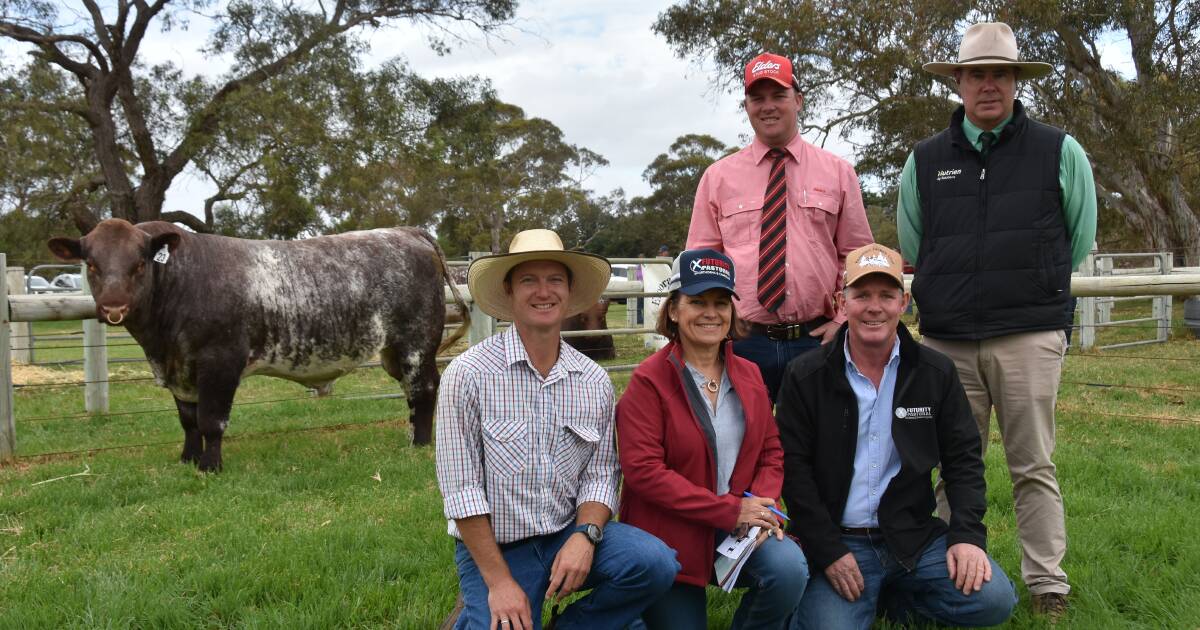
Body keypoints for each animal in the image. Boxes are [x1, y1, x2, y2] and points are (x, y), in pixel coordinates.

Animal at [49, 218, 468, 468]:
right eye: (91, 265)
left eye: (139, 264)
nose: (113, 308)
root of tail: (406, 231)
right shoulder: (180, 370)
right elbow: (188, 421)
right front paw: (188, 459)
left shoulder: (220, 363)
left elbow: (211, 420)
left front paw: (210, 466)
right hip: (392, 352)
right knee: (412, 393)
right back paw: (412, 435)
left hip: (416, 342)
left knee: (424, 389)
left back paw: (419, 444)